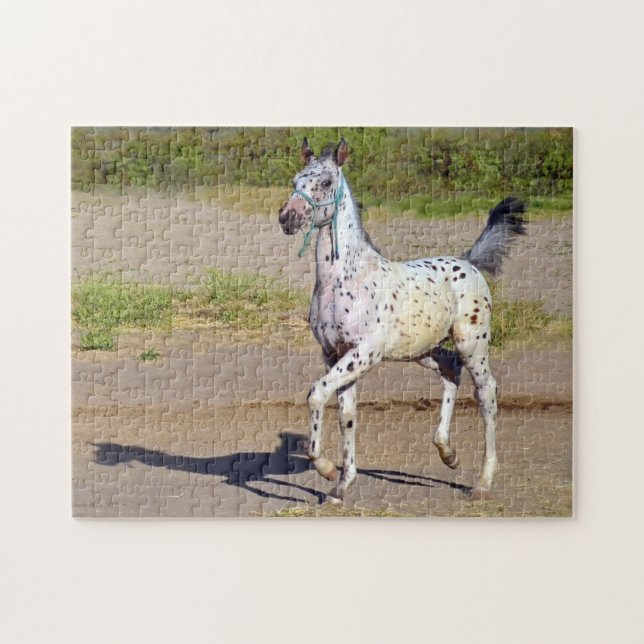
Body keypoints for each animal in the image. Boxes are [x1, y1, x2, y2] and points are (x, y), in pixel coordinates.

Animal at [278, 138, 526, 503]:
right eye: (295, 180)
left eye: (324, 182)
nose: (288, 217)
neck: (344, 279)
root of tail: (470, 263)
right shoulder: (335, 354)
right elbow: (347, 414)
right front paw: (342, 484)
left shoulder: (364, 353)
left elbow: (317, 394)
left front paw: (326, 469)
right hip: (422, 351)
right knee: (450, 370)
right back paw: (447, 453)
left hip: (472, 345)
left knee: (486, 395)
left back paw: (482, 481)